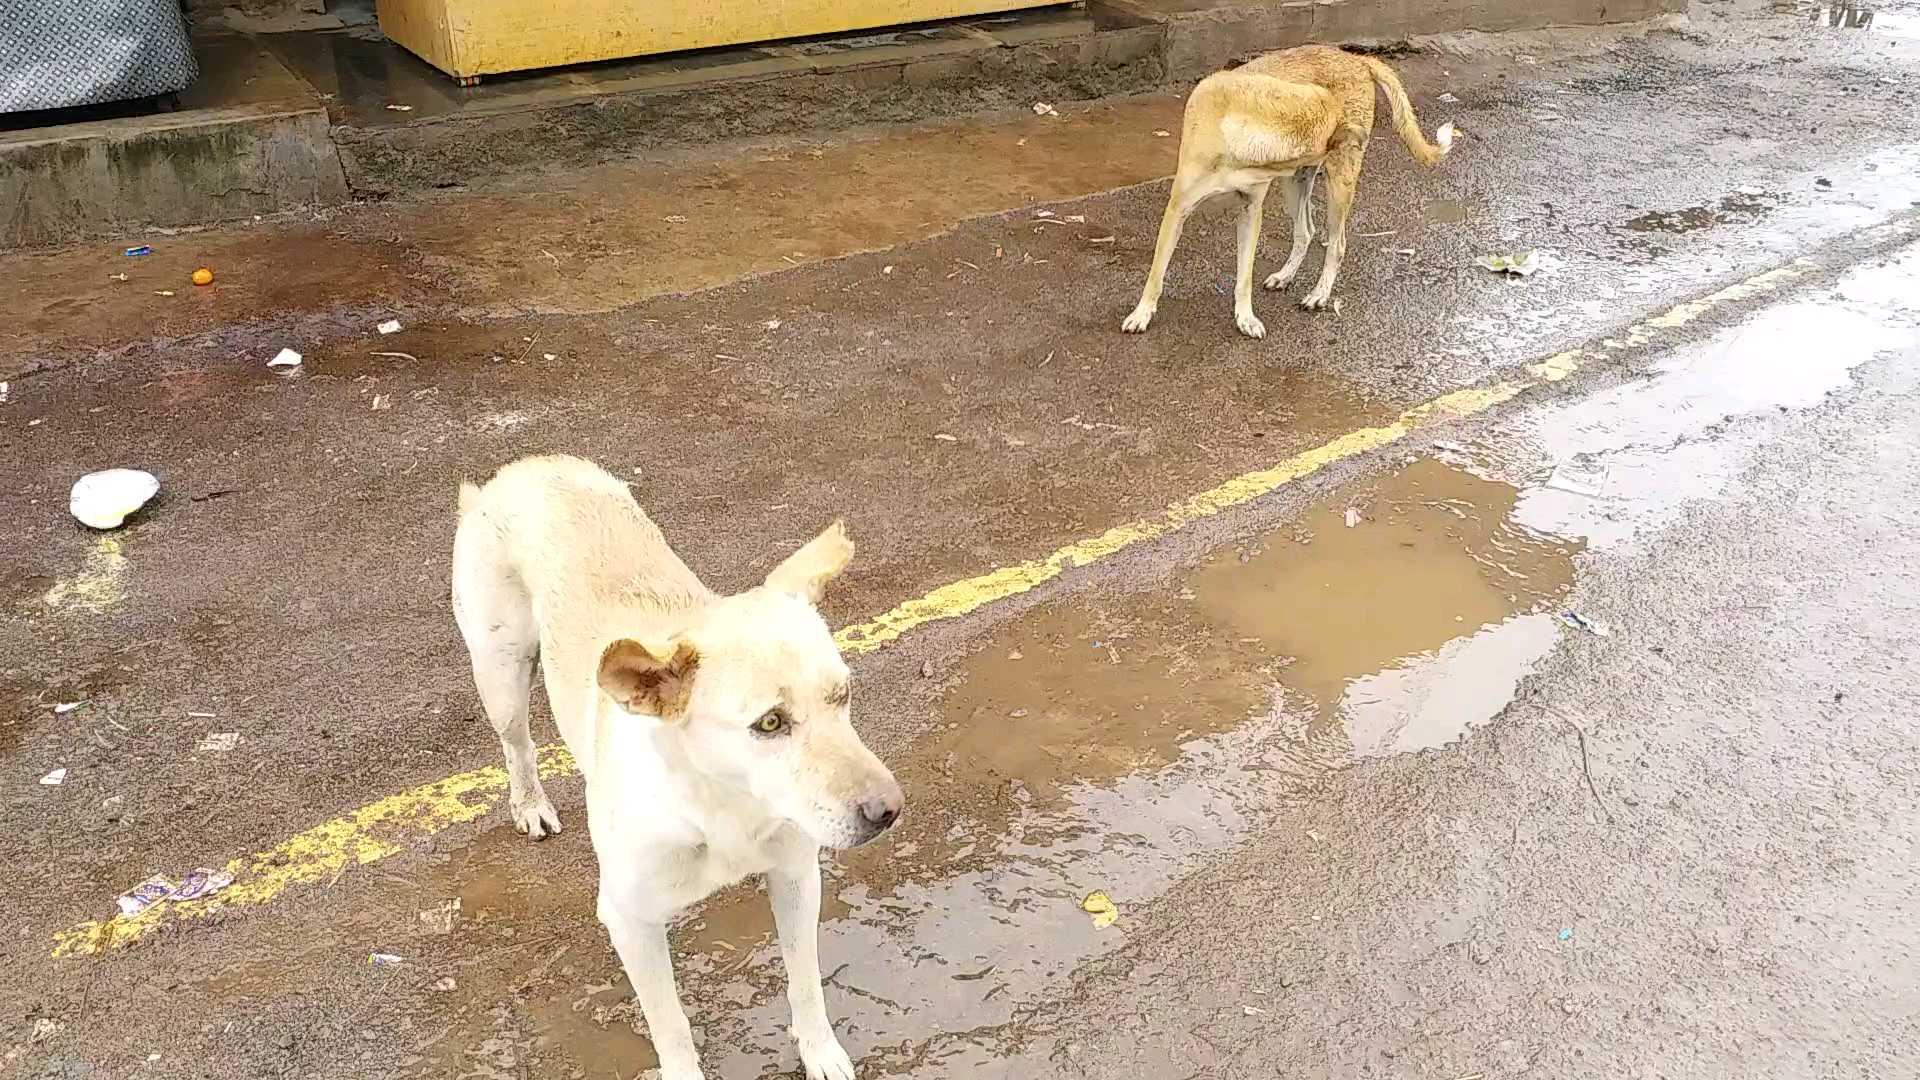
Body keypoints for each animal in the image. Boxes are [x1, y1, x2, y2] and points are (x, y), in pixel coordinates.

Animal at [451, 453, 906, 1076]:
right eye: (770, 723)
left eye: (844, 695)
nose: (889, 811)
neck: (723, 808)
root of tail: (524, 467)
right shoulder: (629, 921)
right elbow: (670, 1024)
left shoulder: (796, 876)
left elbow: (806, 980)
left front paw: (820, 1052)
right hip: (500, 674)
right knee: (518, 745)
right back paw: (531, 805)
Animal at [1121, 46, 1443, 336]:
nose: (1360, 135)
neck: (1236, 130)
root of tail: (1357, 59)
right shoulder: (1178, 210)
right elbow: (1156, 273)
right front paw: (1142, 313)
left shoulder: (1251, 212)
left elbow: (1244, 276)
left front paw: (1245, 318)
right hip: (1296, 185)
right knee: (1305, 232)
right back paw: (1286, 276)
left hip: (1339, 185)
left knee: (1336, 244)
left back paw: (1319, 294)